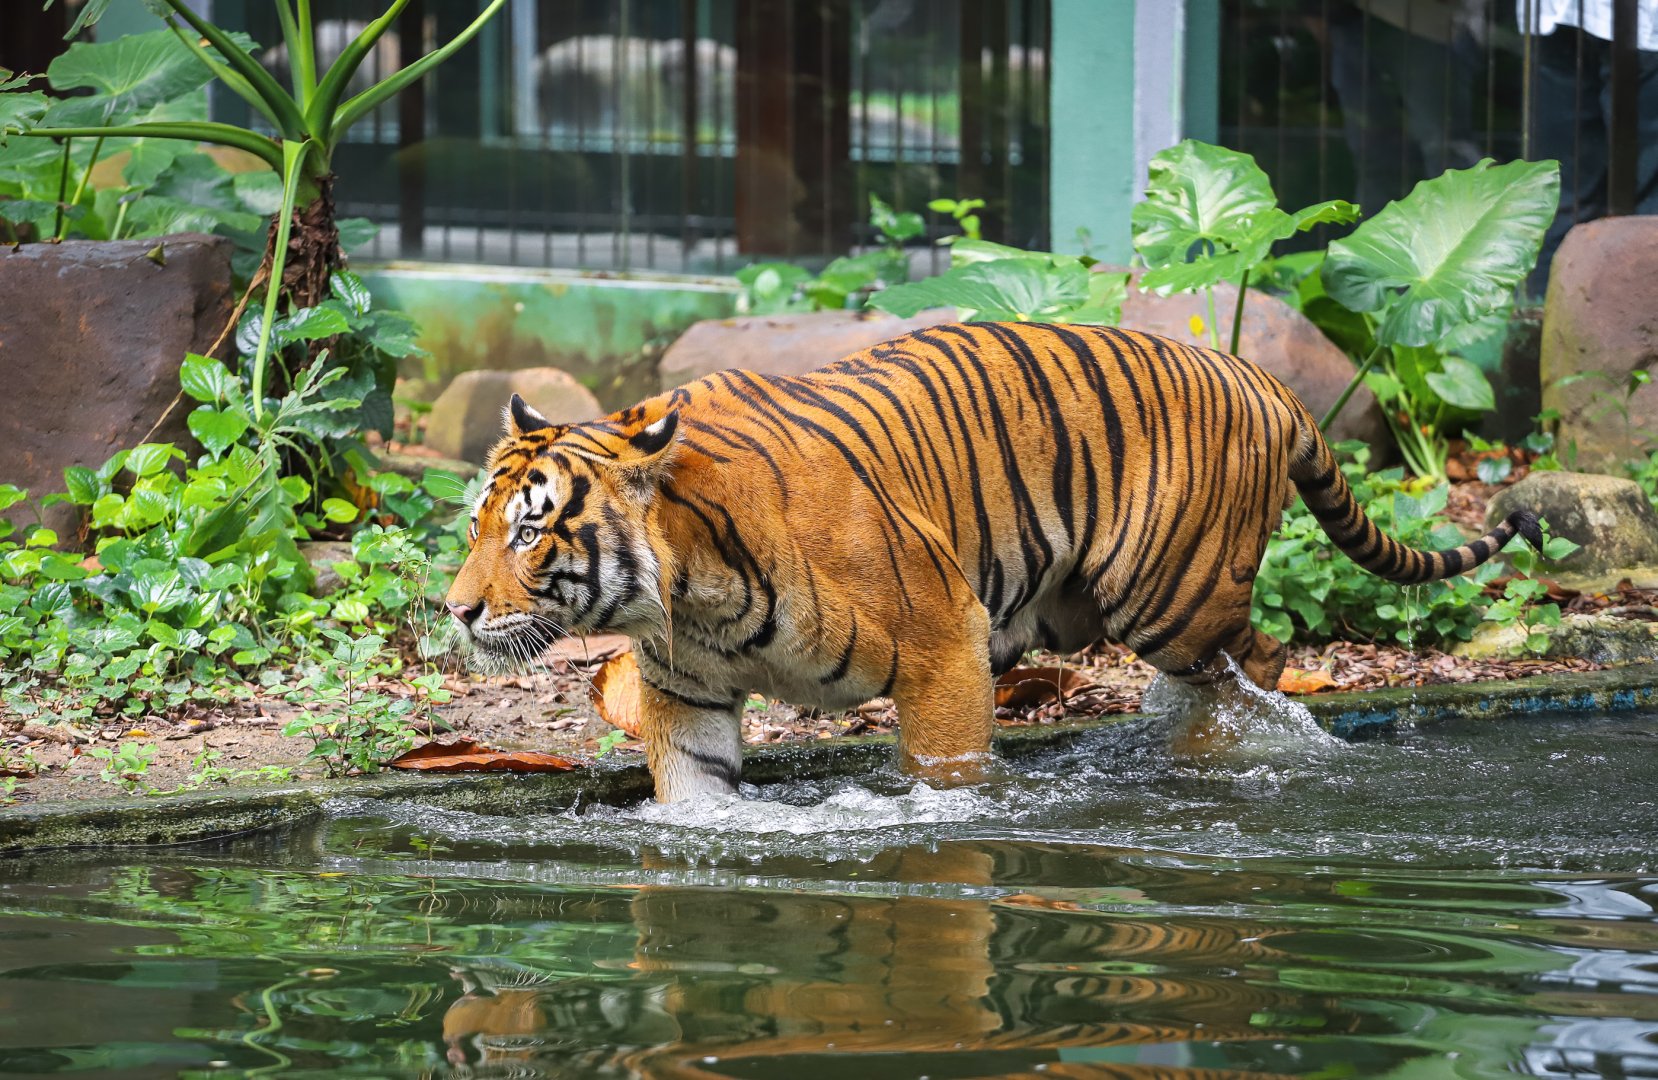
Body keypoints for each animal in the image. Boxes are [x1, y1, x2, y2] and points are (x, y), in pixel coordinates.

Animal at [444, 322, 1541, 802]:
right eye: (477, 524)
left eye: (530, 532)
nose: (455, 611)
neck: (687, 592)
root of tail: (1259, 377)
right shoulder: (689, 692)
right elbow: (699, 794)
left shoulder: (942, 644)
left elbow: (947, 774)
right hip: (1071, 607)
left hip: (1167, 598)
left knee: (1259, 662)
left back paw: (1217, 755)